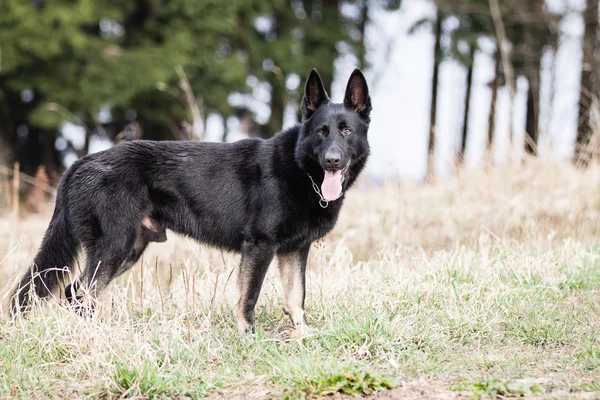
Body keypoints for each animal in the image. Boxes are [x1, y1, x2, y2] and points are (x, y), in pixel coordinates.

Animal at [10, 69, 370, 332]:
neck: (299, 168)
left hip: (127, 250)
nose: (332, 161)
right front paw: (248, 335)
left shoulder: (294, 251)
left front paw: (304, 335)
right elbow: (248, 298)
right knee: (83, 291)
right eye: (321, 131)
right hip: (114, 247)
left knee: (76, 291)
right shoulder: (259, 247)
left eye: (346, 131)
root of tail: (80, 162)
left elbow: (296, 297)